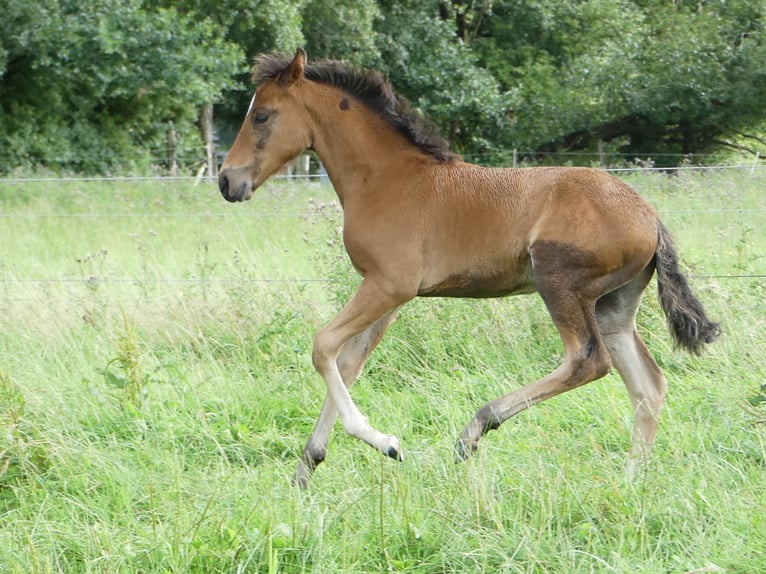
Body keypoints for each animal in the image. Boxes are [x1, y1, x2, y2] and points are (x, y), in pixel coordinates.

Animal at [219, 50, 724, 490]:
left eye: (262, 116)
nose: (227, 181)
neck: (384, 179)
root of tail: (651, 219)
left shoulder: (388, 286)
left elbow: (323, 346)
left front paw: (386, 443)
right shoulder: (385, 296)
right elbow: (348, 363)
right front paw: (307, 469)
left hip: (560, 283)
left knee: (587, 360)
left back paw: (475, 429)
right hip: (613, 305)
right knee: (648, 386)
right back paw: (629, 481)